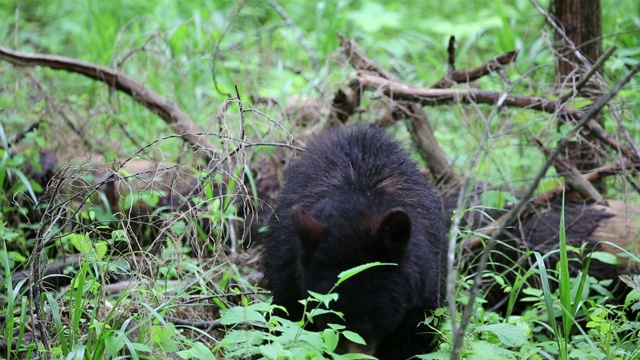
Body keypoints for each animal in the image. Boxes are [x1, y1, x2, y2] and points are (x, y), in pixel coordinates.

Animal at [262, 125, 448, 358]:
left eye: (375, 321)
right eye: (325, 319)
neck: (358, 195)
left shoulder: (423, 294)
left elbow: (415, 340)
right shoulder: (289, 274)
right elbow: (287, 318)